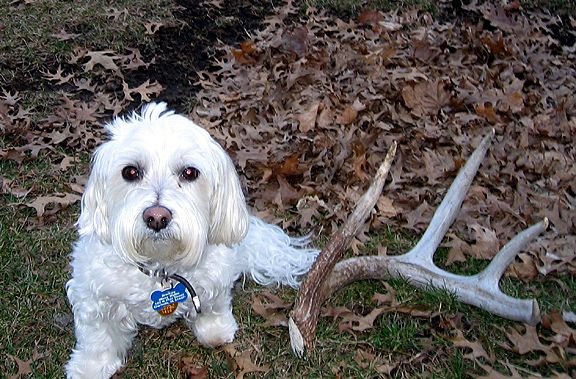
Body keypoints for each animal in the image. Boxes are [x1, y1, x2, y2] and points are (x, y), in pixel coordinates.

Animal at [66, 102, 320, 378]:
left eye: (189, 172)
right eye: (130, 172)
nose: (157, 217)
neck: (161, 268)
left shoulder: (216, 277)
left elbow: (214, 304)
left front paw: (215, 329)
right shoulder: (92, 295)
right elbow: (97, 336)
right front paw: (90, 366)